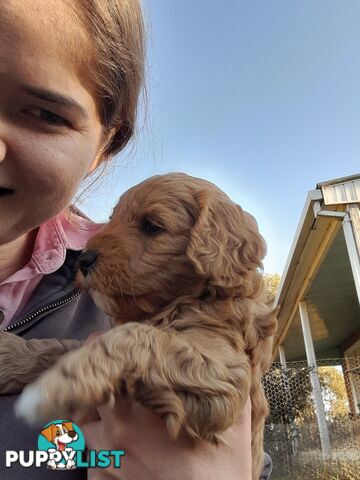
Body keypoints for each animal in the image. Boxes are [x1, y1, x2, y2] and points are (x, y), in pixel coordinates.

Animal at [6, 172, 276, 480]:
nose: (83, 259)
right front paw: (8, 353)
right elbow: (62, 347)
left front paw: (59, 385)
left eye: (152, 226)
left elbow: (137, 336)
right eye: (113, 218)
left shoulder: (223, 376)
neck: (191, 299)